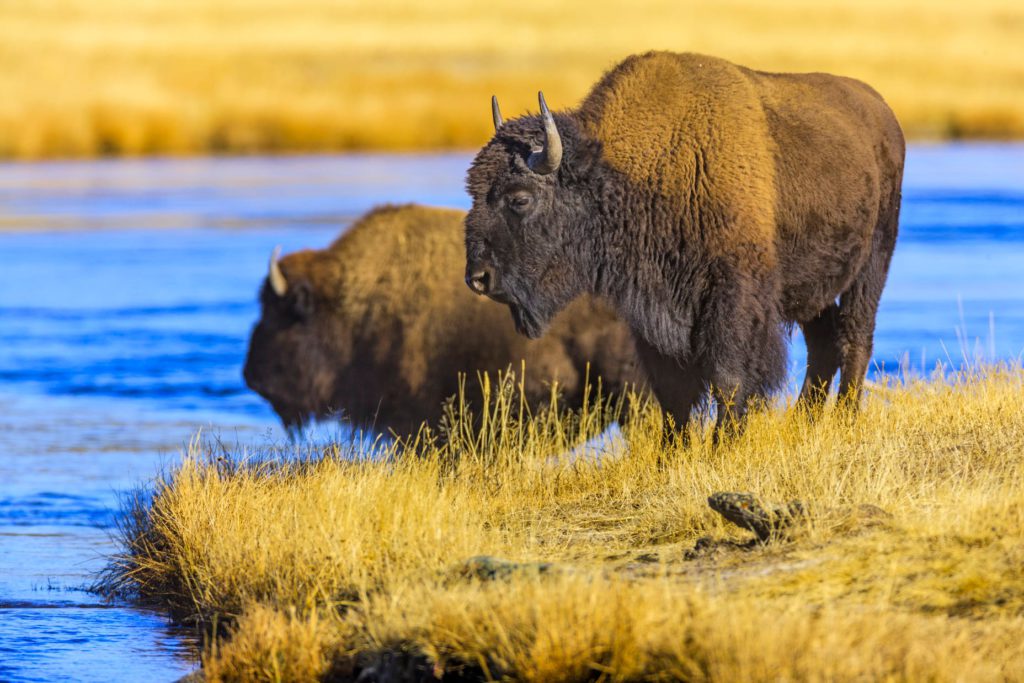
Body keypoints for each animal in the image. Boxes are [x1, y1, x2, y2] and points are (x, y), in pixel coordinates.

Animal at [464, 50, 905, 432]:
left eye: (520, 198)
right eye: (472, 192)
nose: (478, 278)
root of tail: (883, 113)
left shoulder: (732, 300)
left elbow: (729, 380)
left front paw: (723, 446)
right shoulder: (652, 313)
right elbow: (673, 394)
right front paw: (670, 456)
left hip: (872, 265)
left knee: (855, 336)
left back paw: (846, 418)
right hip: (810, 286)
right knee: (824, 341)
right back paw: (805, 421)